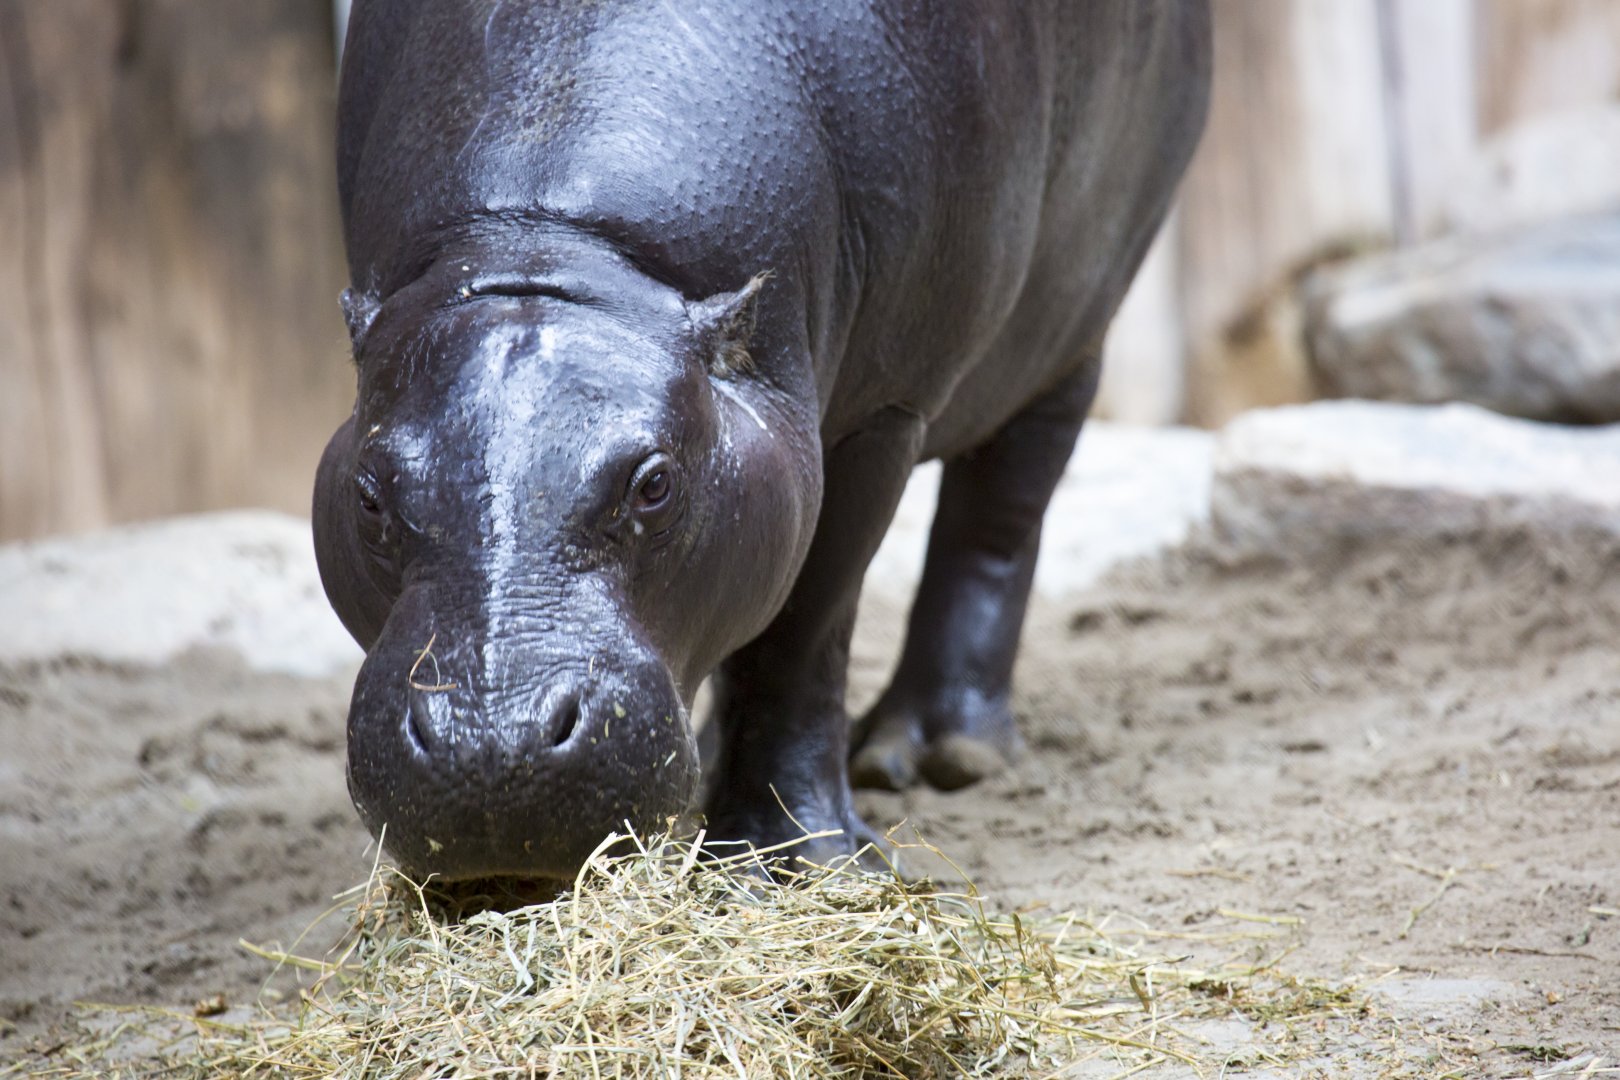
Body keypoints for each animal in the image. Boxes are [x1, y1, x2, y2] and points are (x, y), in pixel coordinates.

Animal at [314, 0, 1210, 880]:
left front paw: (797, 859)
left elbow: (805, 629)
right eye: (367, 495)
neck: (551, 244)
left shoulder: (879, 416)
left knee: (998, 517)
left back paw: (938, 754)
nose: (488, 752)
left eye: (654, 484)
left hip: (1073, 323)